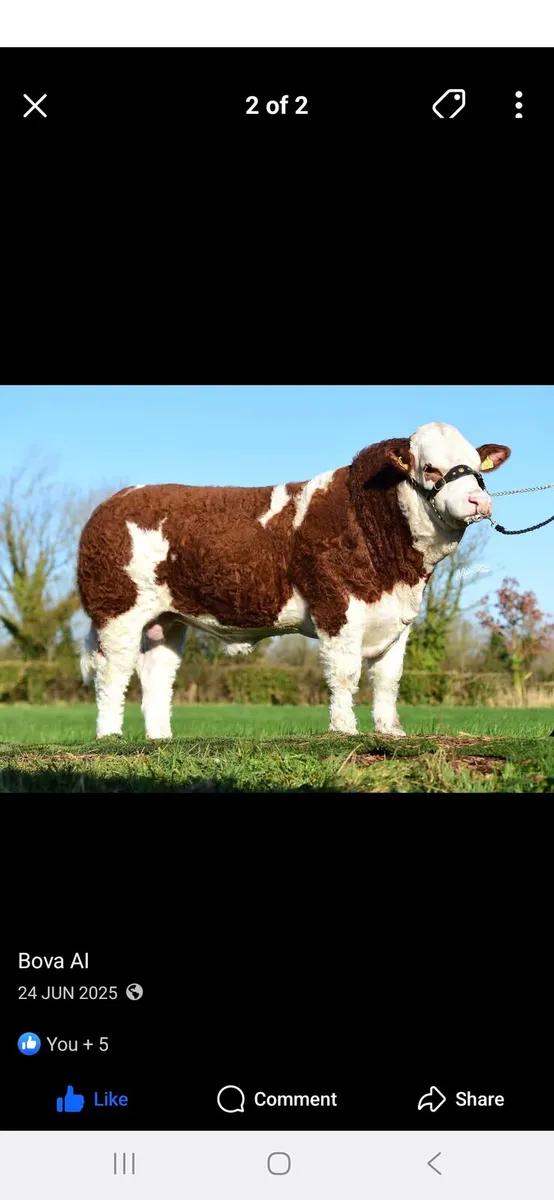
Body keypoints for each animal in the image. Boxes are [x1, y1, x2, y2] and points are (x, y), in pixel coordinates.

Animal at [77, 422, 510, 739]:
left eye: (476, 466)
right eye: (430, 468)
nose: (478, 501)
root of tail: (115, 501)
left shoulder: (398, 620)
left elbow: (388, 678)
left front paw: (391, 732)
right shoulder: (337, 607)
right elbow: (345, 673)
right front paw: (344, 731)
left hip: (166, 619)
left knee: (157, 675)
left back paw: (160, 739)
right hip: (116, 611)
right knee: (113, 672)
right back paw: (110, 736)